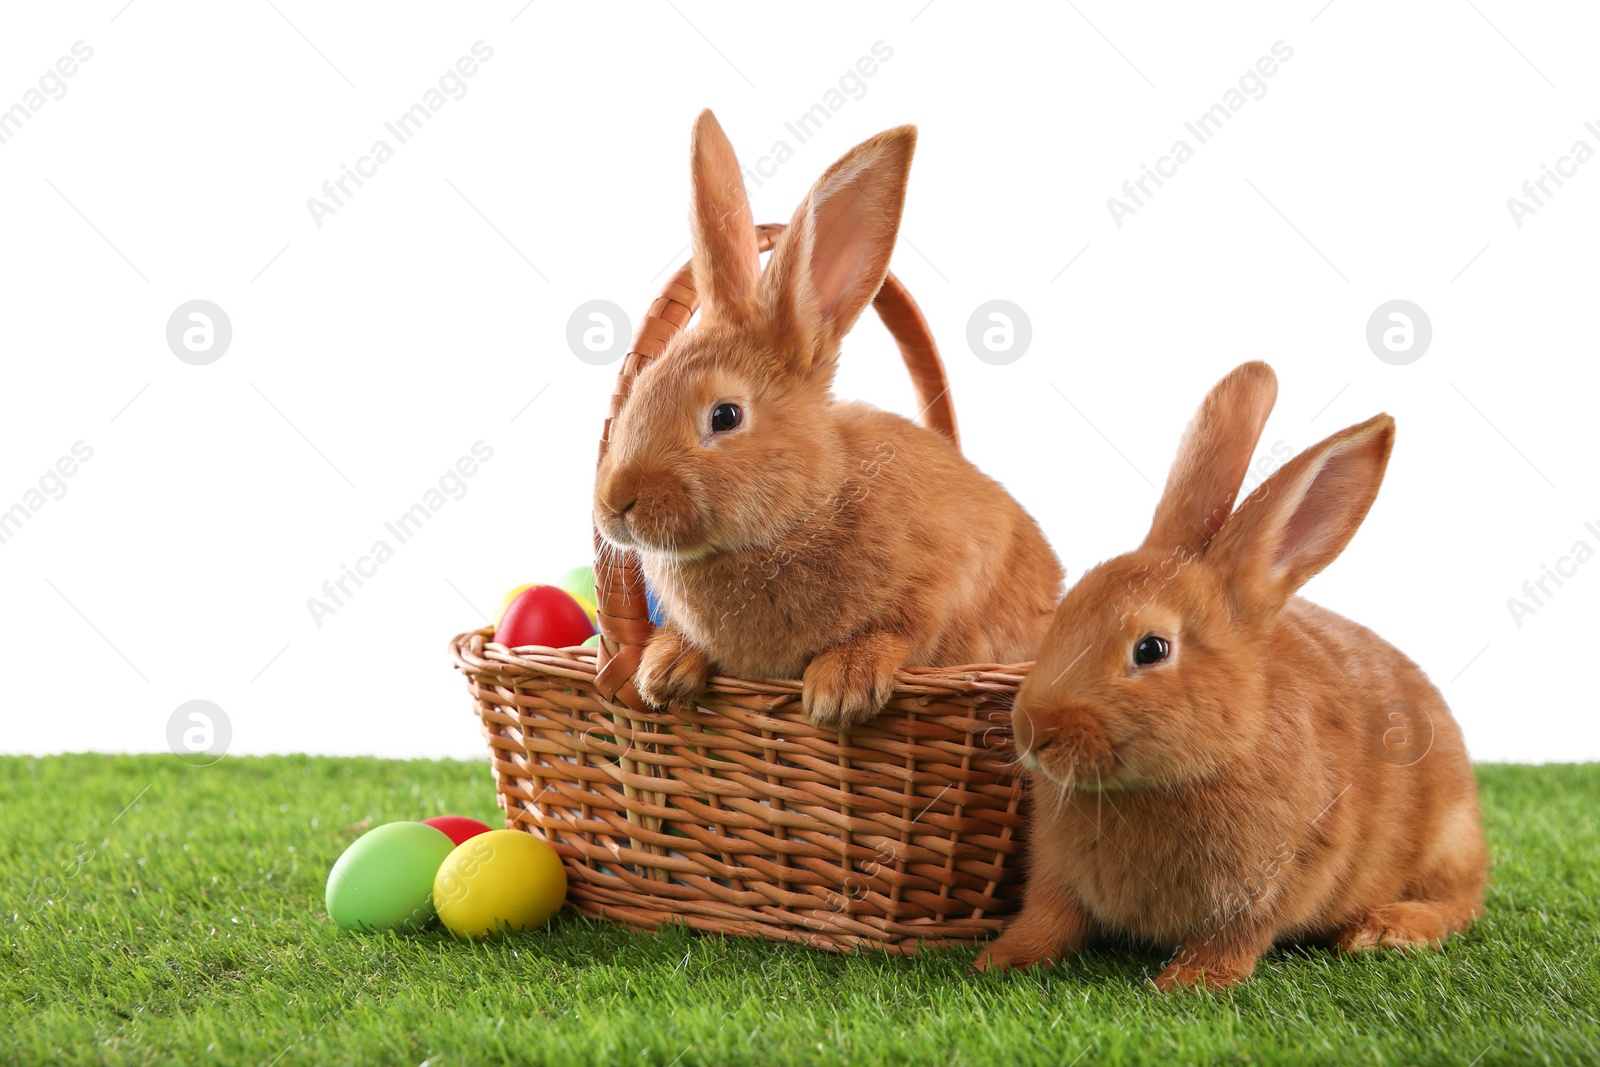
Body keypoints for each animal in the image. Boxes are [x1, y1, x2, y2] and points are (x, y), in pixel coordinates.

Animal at [588, 112, 1062, 729]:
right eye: (640, 389)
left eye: (725, 415)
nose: (615, 504)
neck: (807, 509)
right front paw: (662, 670)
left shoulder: (943, 584)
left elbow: (901, 633)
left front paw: (841, 688)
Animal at [972, 363, 1484, 991]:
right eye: (1063, 616)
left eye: (1151, 649)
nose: (1033, 732)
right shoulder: (1057, 877)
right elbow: (1048, 918)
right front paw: (1000, 960)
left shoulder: (1271, 882)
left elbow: (1236, 935)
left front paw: (1189, 983)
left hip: (1448, 841)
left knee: (1465, 902)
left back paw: (1385, 931)